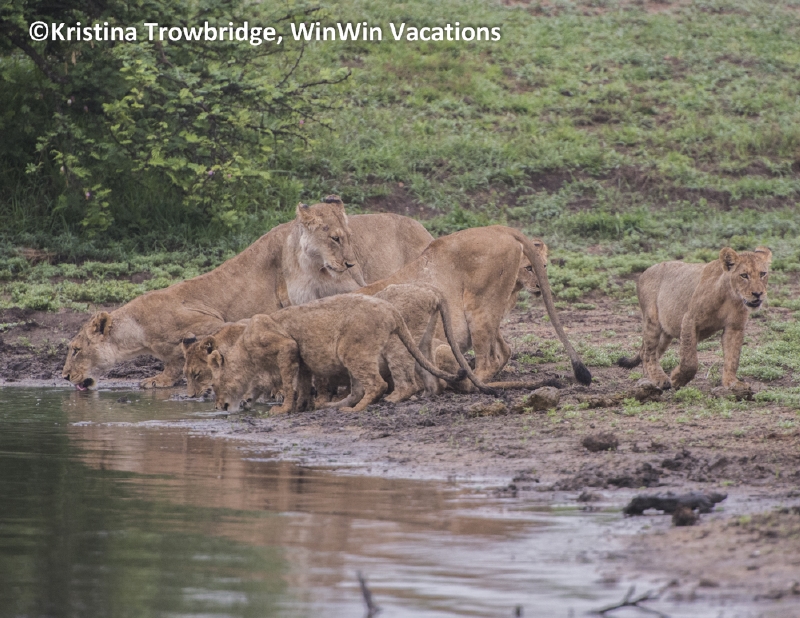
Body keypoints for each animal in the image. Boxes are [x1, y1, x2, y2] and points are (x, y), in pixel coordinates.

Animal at [62, 196, 433, 390]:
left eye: (76, 350)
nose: (64, 375)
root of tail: (422, 229)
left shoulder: (207, 320)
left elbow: (179, 356)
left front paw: (160, 379)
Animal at [207, 295, 468, 413]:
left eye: (215, 386)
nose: (219, 407)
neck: (244, 349)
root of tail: (391, 309)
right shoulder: (301, 359)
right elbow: (302, 384)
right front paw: (302, 406)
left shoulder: (286, 346)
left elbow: (288, 383)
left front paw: (282, 409)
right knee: (362, 387)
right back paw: (336, 405)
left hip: (351, 349)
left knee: (379, 384)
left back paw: (355, 409)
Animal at [356, 225, 592, 388]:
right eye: (529, 268)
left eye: (543, 267)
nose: (538, 287)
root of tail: (499, 227)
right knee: (500, 353)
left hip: (478, 305)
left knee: (488, 361)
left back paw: (469, 383)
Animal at [617, 247, 772, 390]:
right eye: (744, 275)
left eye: (763, 274)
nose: (758, 294)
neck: (731, 297)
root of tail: (645, 271)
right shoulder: (689, 320)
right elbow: (689, 360)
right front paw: (677, 379)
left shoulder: (735, 327)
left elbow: (732, 358)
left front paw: (732, 382)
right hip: (652, 321)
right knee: (648, 353)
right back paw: (659, 379)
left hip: (666, 332)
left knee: (647, 352)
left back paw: (649, 378)